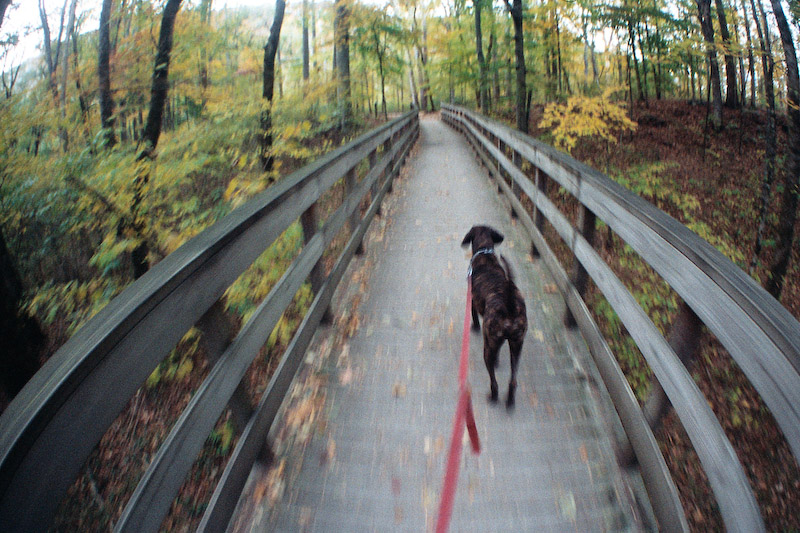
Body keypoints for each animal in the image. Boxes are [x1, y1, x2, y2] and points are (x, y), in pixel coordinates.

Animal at [460, 224, 528, 408]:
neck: (485, 253)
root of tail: (509, 304)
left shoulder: (472, 300)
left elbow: (474, 316)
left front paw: (474, 326)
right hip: (516, 344)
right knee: (513, 381)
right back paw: (510, 401)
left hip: (487, 349)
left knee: (494, 380)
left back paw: (493, 396)